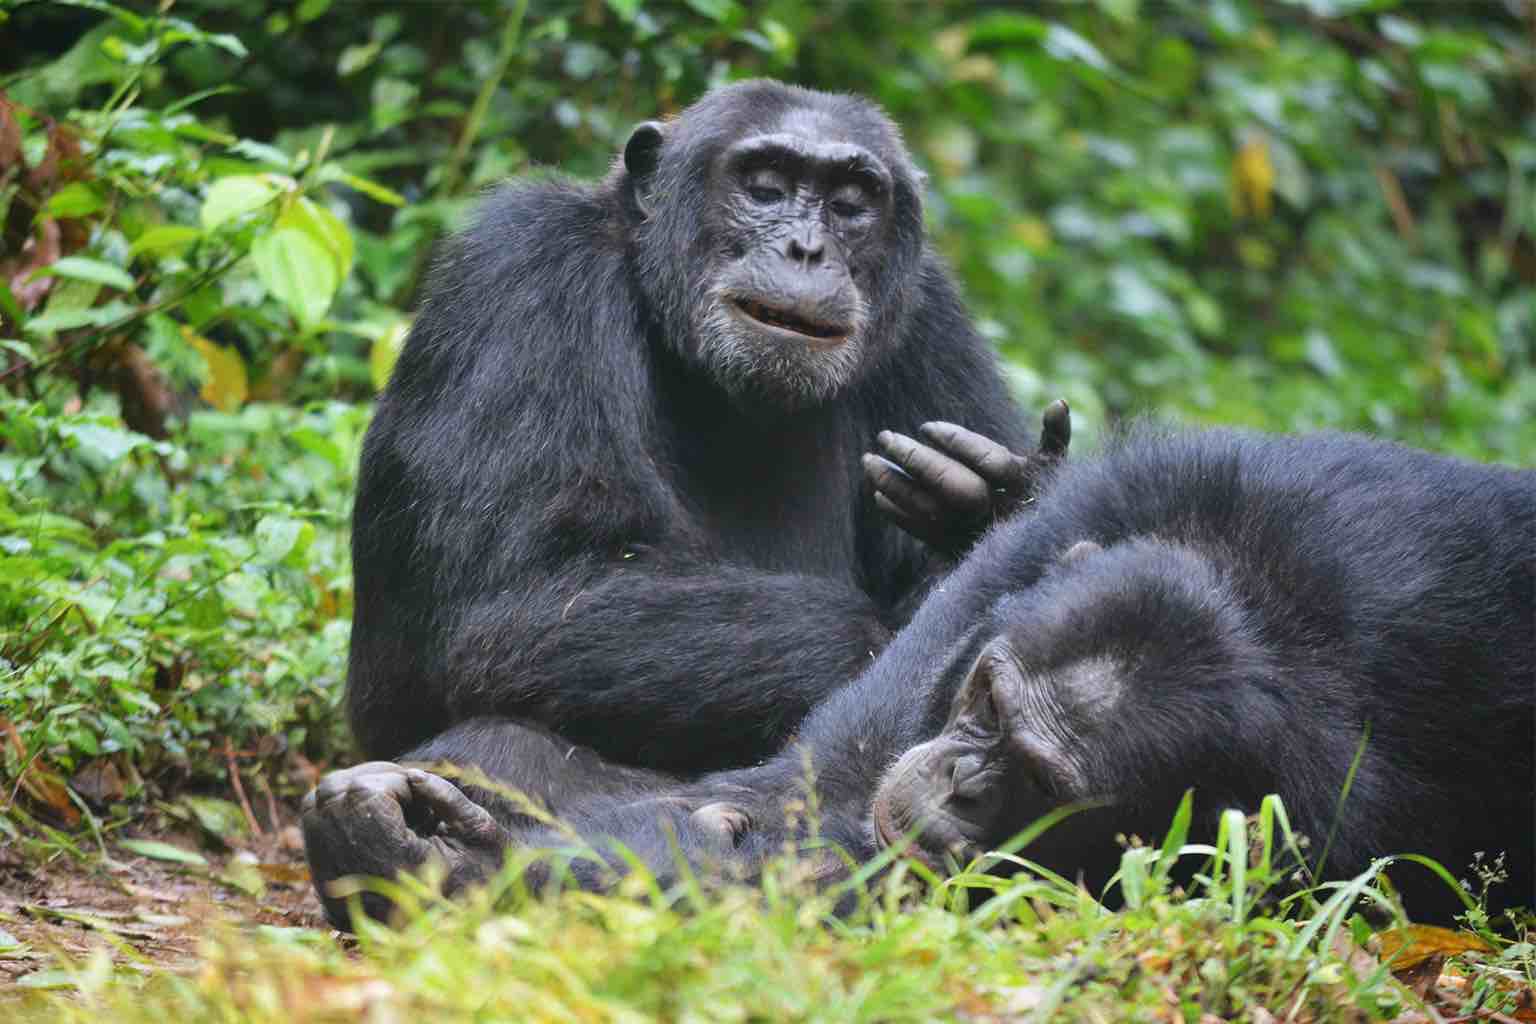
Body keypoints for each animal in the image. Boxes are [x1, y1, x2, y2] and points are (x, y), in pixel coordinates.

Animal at [302, 75, 1069, 914]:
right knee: (499, 747)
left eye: (850, 203)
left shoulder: (935, 319)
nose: (808, 247)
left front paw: (993, 503)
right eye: (764, 186)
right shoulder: (518, 273)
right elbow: (515, 603)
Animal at [308, 429, 1536, 927]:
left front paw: (438, 866)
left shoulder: (1308, 835)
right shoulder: (1092, 525)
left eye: (1041, 780)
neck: (1274, 610)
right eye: (985, 701)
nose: (955, 778)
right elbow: (796, 799)